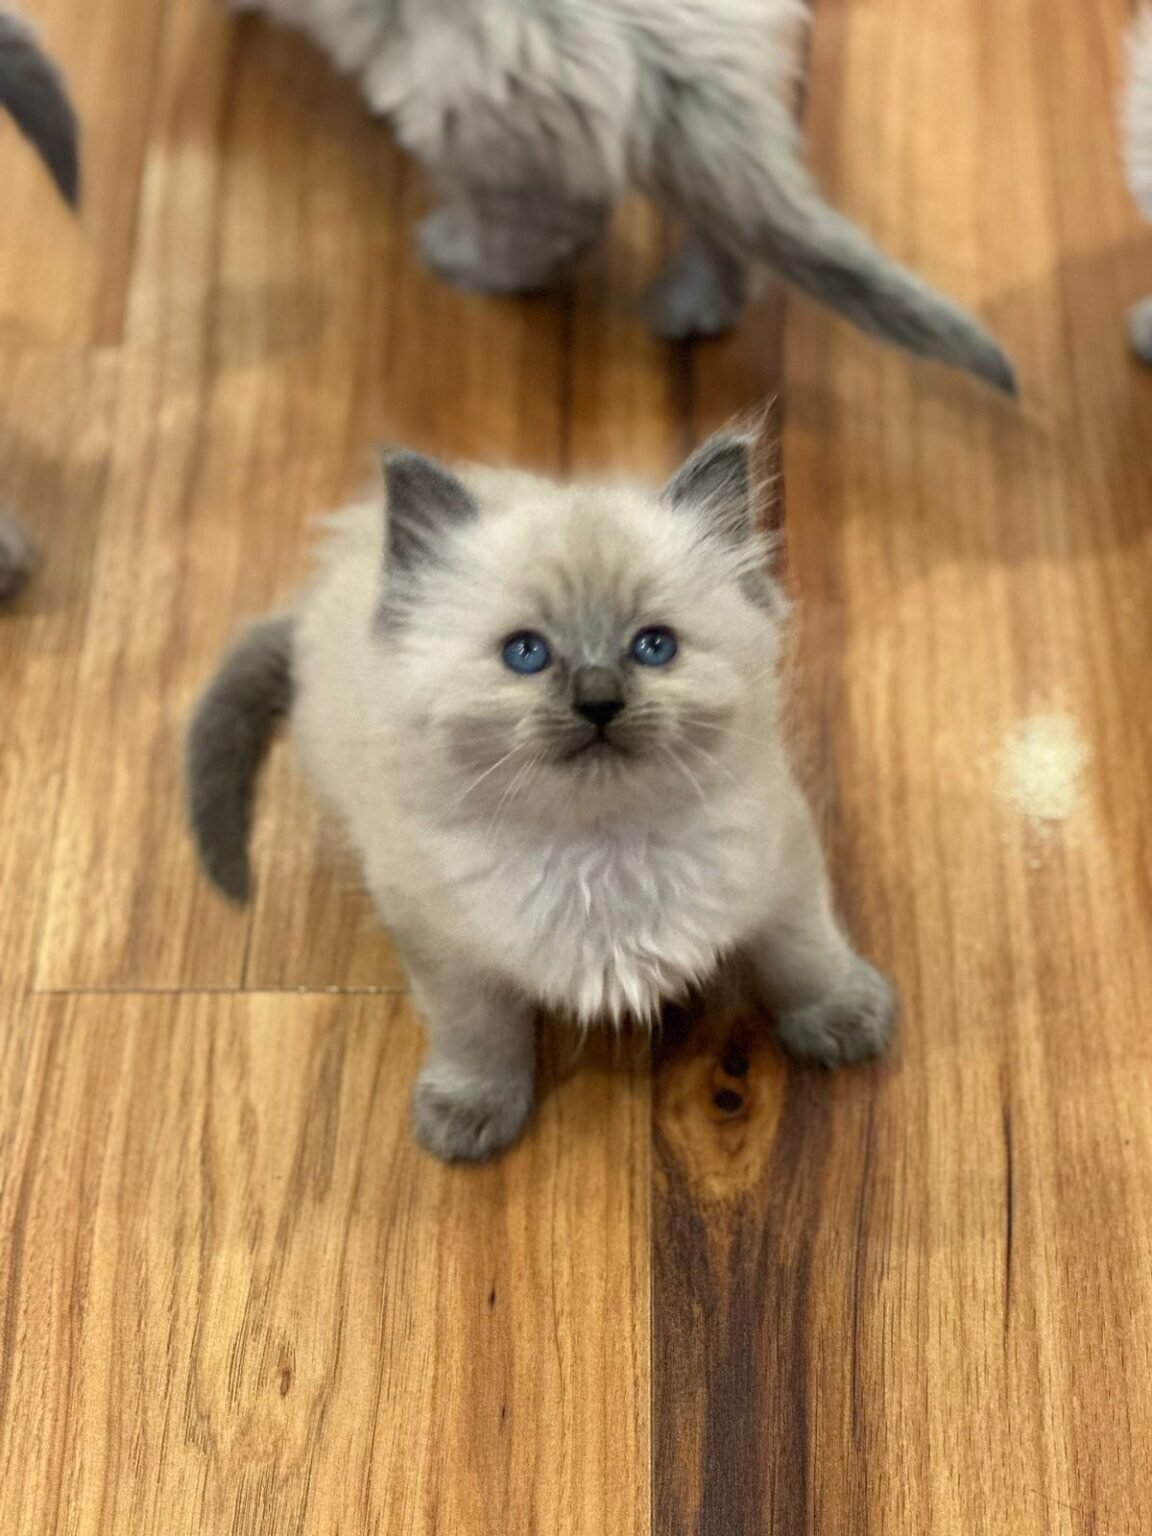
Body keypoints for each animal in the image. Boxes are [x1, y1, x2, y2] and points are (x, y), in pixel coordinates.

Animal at [186, 431, 896, 1161]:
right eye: (525, 654)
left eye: (655, 646)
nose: (599, 702)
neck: (600, 849)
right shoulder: (443, 949)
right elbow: (478, 1038)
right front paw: (469, 1114)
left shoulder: (783, 869)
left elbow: (803, 954)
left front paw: (845, 1019)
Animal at [230, 0, 1016, 393]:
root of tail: (673, 42)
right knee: (722, 229)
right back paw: (692, 309)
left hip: (465, 111)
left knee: (555, 227)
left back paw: (458, 257)